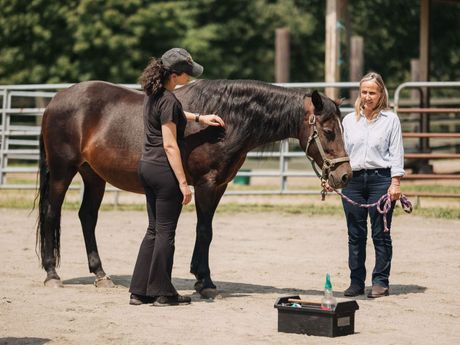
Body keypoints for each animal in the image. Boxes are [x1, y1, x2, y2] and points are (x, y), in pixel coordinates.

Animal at [36, 80, 352, 296]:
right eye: (328, 131)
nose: (346, 176)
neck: (225, 122)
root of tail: (55, 101)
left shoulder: (220, 186)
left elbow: (207, 231)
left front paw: (201, 277)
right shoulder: (206, 185)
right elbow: (203, 231)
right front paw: (205, 282)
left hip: (93, 176)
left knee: (87, 217)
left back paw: (101, 274)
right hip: (63, 172)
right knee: (52, 213)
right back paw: (52, 275)